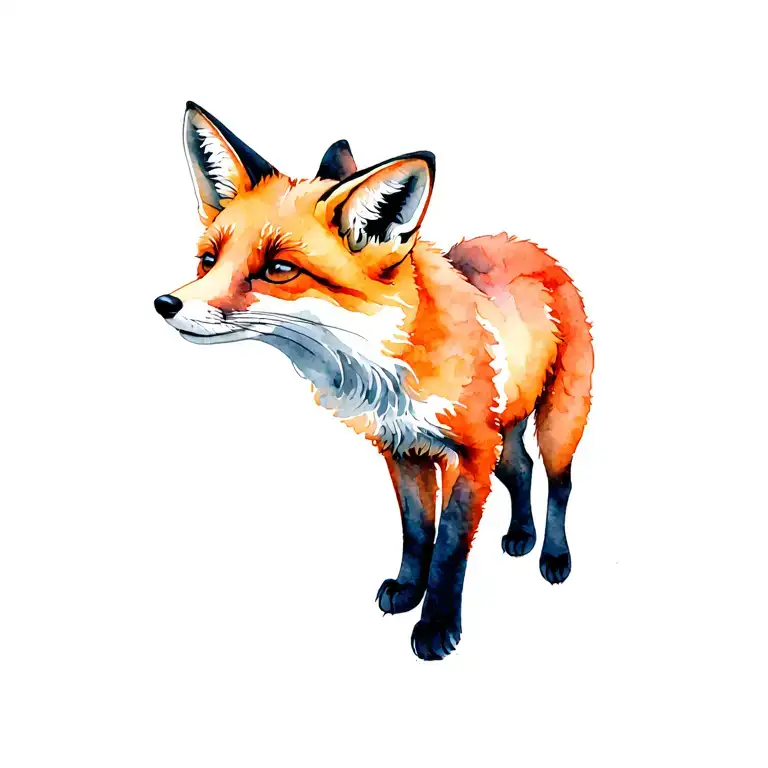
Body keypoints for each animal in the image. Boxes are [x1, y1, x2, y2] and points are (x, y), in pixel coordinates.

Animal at [154, 101, 594, 660]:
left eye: (278, 269)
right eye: (208, 260)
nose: (165, 304)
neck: (383, 368)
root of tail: (531, 248)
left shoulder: (470, 455)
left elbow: (449, 547)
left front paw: (437, 628)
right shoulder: (403, 449)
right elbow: (416, 532)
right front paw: (408, 589)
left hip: (559, 421)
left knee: (559, 482)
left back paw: (553, 555)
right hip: (506, 432)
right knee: (521, 469)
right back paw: (520, 535)